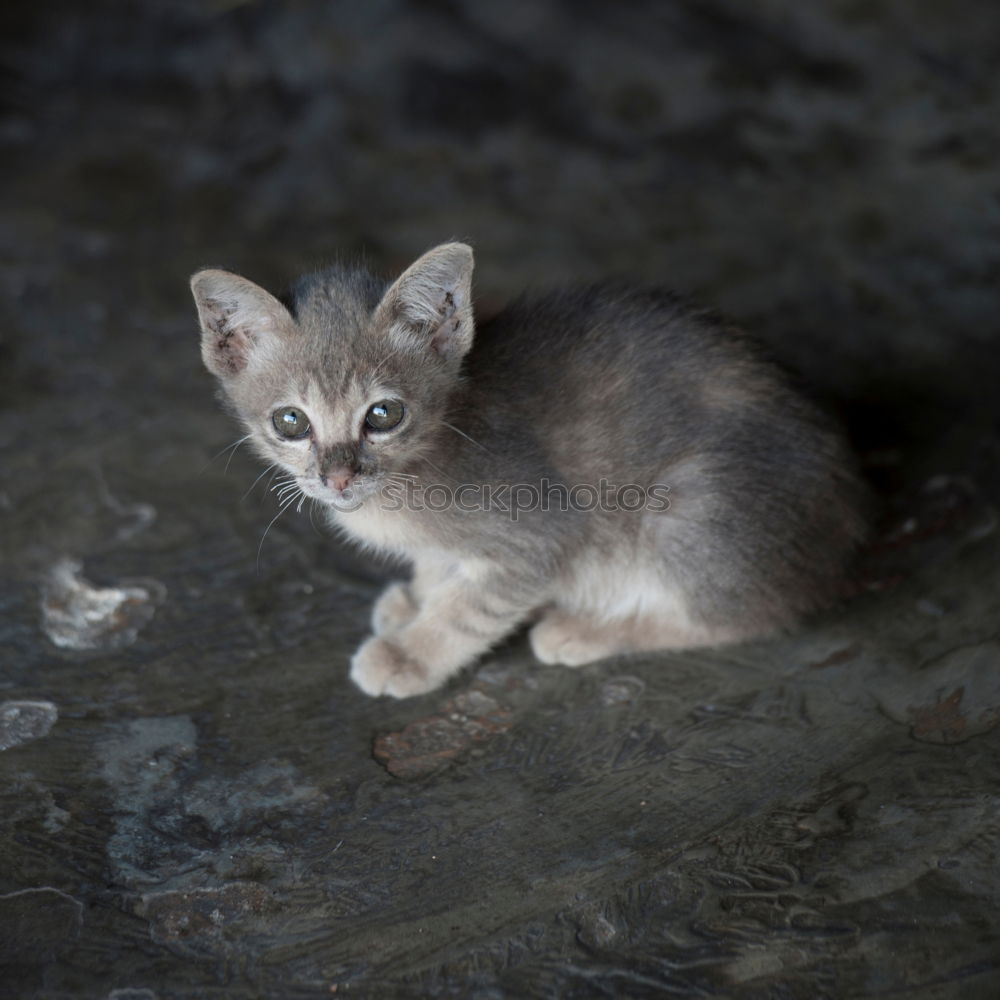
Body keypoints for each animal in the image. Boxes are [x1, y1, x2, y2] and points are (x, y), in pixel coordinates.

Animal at [189, 242, 868, 696]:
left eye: (383, 414)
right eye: (291, 422)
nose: (338, 478)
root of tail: (847, 525)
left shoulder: (539, 534)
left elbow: (469, 611)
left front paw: (412, 654)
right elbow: (442, 574)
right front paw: (418, 599)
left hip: (688, 511)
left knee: (744, 616)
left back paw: (586, 627)